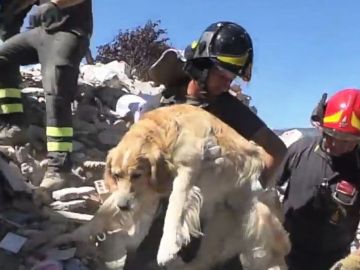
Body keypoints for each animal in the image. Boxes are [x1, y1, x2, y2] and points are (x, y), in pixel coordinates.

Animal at [51, 104, 290, 268]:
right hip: (217, 229)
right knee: (205, 260)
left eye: (137, 175)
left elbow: (175, 207)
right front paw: (70, 236)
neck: (166, 130)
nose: (124, 207)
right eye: (117, 175)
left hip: (258, 233)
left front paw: (166, 248)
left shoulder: (188, 170)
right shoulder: (146, 192)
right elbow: (101, 214)